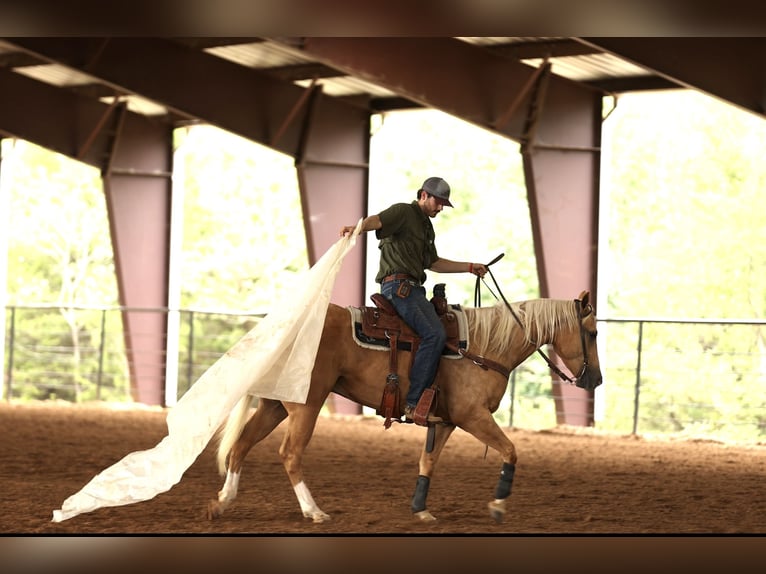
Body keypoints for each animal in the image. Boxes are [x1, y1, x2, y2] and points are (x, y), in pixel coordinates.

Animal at [206, 289, 602, 524]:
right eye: (593, 332)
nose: (595, 380)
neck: (485, 347)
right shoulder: (473, 417)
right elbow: (510, 450)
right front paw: (498, 505)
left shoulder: (444, 422)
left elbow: (427, 462)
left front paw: (421, 509)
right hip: (306, 405)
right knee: (289, 453)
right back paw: (313, 511)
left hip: (275, 404)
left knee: (241, 445)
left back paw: (223, 501)